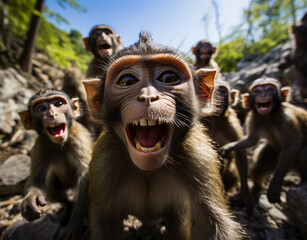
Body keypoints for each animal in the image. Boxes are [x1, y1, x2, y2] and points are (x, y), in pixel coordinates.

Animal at [17, 84, 92, 223]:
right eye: (41, 108)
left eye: (59, 103)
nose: (53, 114)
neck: (60, 145)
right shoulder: (40, 146)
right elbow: (37, 178)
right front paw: (31, 199)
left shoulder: (79, 138)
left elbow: (85, 180)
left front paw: (74, 226)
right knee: (51, 186)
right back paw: (68, 206)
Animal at [77, 32, 245, 240]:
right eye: (127, 81)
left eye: (168, 77)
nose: (148, 97)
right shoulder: (103, 161)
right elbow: (104, 221)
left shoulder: (200, 158)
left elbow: (214, 223)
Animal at [201, 79, 254, 215]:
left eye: (222, 90)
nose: (217, 95)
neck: (214, 120)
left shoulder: (232, 124)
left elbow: (240, 151)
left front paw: (245, 195)